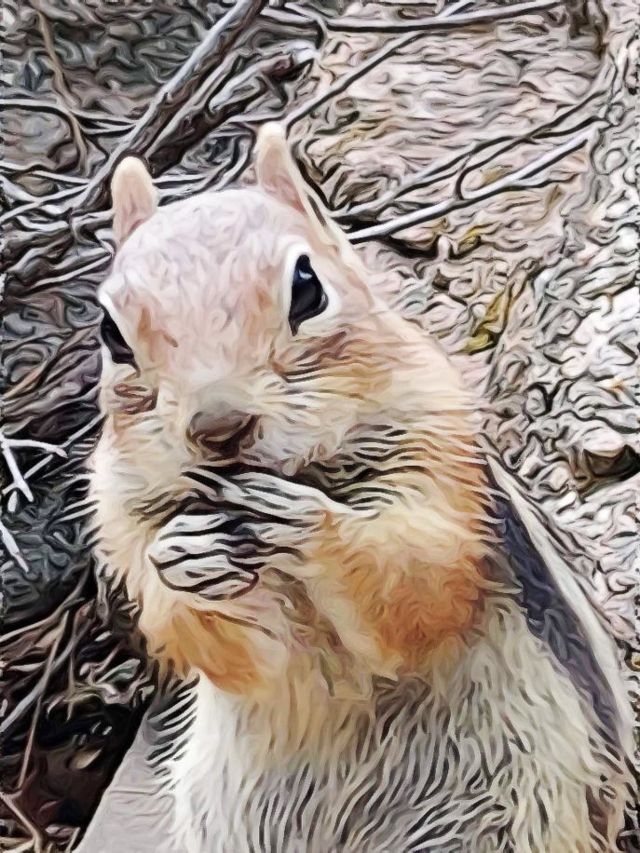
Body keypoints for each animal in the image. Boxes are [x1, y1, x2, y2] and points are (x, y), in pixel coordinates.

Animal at [90, 123, 633, 853]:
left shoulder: (438, 460)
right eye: (111, 333)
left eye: (308, 288)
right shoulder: (124, 510)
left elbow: (413, 583)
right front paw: (185, 560)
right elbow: (229, 651)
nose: (219, 425)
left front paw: (308, 523)